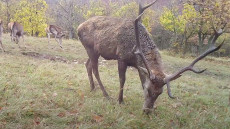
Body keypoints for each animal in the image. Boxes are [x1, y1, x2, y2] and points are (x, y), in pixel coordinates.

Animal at [77, 0, 223, 114]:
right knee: (95, 69)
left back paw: (92, 88)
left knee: (87, 64)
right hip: (91, 49)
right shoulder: (121, 57)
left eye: (160, 93)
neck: (135, 48)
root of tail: (78, 27)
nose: (147, 111)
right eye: (148, 90)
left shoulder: (139, 66)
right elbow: (122, 80)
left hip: (94, 52)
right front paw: (120, 100)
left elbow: (141, 80)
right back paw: (106, 94)